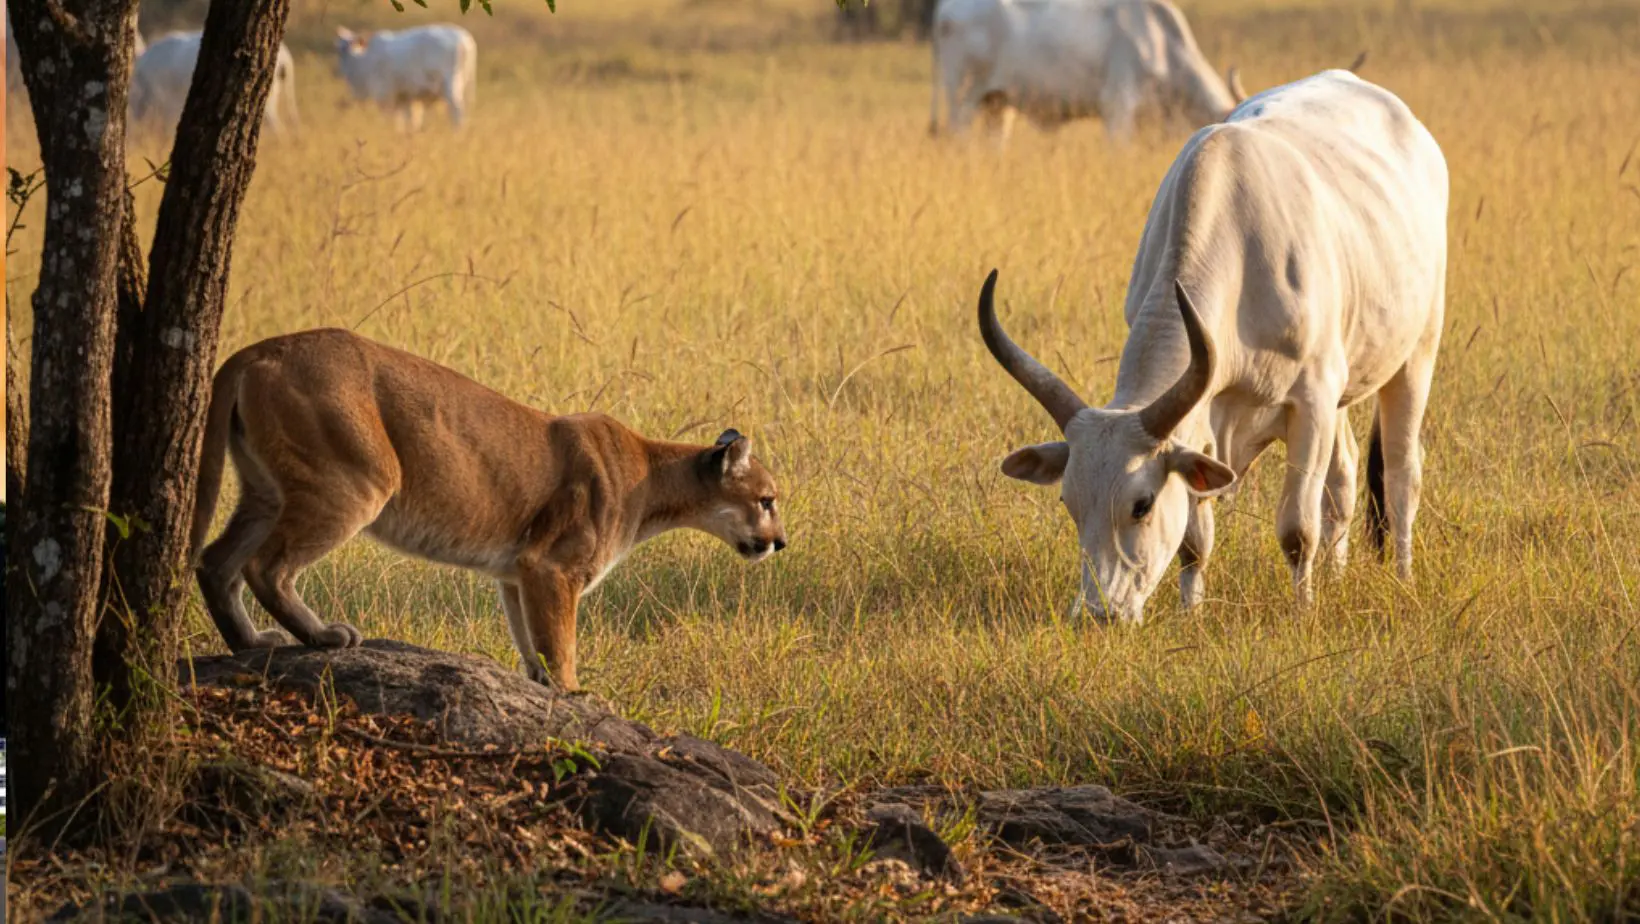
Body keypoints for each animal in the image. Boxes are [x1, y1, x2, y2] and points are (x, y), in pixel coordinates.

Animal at [333, 25, 477, 131]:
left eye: (342, 49)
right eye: (338, 48)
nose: (341, 70)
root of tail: (465, 40)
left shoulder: (385, 95)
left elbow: (391, 120)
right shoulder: (406, 99)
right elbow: (409, 121)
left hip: (451, 86)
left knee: (457, 112)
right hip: (466, 86)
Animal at [979, 69, 1448, 623]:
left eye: (1142, 504)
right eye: (1069, 503)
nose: (1098, 614)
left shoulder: (1311, 401)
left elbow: (1297, 529)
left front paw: (1302, 612)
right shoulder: (1204, 423)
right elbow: (1194, 541)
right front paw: (1191, 613)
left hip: (1417, 354)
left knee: (1400, 474)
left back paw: (1402, 576)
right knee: (1345, 477)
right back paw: (1337, 575)